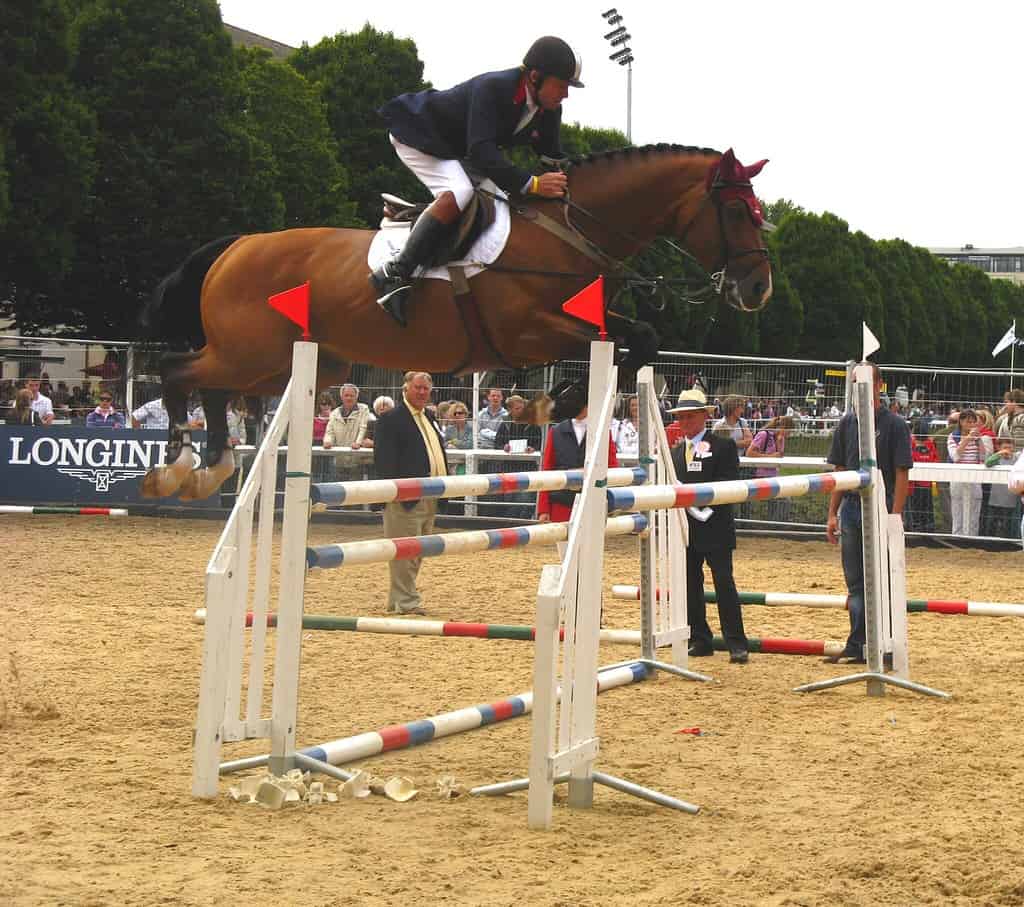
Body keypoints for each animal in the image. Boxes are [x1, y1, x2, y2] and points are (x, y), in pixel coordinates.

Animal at [140, 144, 772, 499]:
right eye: (736, 210)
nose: (758, 289)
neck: (567, 232)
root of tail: (234, 246)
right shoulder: (528, 330)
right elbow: (623, 344)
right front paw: (549, 405)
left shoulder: (587, 323)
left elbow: (642, 340)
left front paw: (553, 403)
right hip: (253, 353)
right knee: (177, 371)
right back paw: (175, 466)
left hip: (295, 367)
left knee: (213, 388)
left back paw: (210, 465)